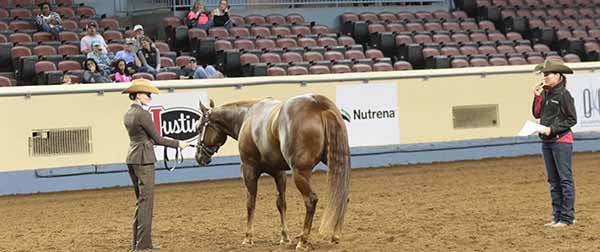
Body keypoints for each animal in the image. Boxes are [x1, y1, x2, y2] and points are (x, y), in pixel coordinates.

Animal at [192, 94, 352, 250]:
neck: (247, 116)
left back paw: (303, 240)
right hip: (335, 162)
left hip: (300, 172)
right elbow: (281, 203)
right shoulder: (279, 173)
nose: (199, 157)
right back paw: (335, 235)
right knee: (342, 195)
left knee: (311, 200)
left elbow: (250, 203)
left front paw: (248, 238)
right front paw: (285, 237)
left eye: (199, 128)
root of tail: (318, 104)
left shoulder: (248, 170)